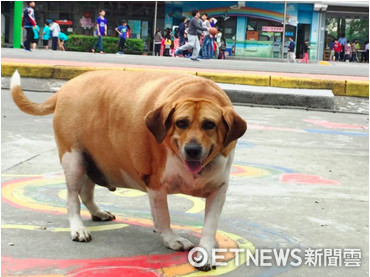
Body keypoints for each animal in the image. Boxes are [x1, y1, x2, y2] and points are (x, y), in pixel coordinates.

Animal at [9, 69, 246, 270]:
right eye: (181, 123)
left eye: (209, 124)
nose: (193, 150)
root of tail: (65, 88)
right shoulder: (156, 185)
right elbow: (163, 217)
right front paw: (171, 239)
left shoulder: (219, 189)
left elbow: (210, 224)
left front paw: (206, 250)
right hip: (74, 160)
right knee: (72, 198)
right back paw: (77, 228)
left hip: (93, 159)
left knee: (86, 192)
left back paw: (97, 212)